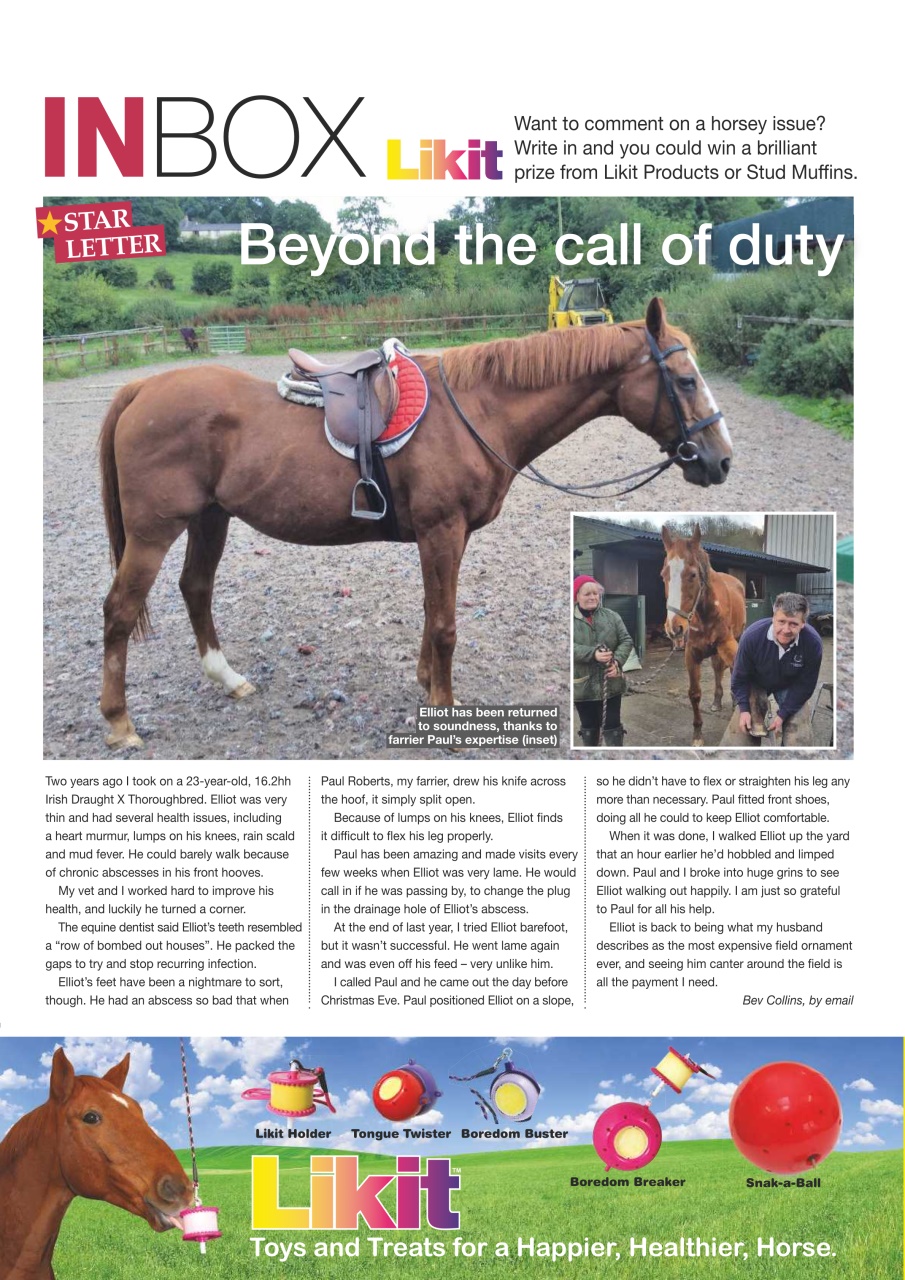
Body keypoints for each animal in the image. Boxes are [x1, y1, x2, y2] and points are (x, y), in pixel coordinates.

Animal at [97, 297, 732, 749]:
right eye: (685, 380)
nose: (720, 460)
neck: (476, 410)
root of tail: (141, 388)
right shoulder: (441, 532)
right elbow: (446, 624)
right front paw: (445, 710)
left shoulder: (445, 537)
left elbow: (432, 614)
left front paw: (428, 684)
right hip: (155, 532)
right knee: (120, 612)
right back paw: (120, 723)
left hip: (210, 519)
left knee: (195, 588)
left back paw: (227, 679)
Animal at [661, 524, 746, 746]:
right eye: (663, 574)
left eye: (692, 575)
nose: (674, 627)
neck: (705, 612)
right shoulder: (691, 654)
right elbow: (694, 693)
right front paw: (698, 735)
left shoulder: (728, 644)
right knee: (717, 670)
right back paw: (716, 701)